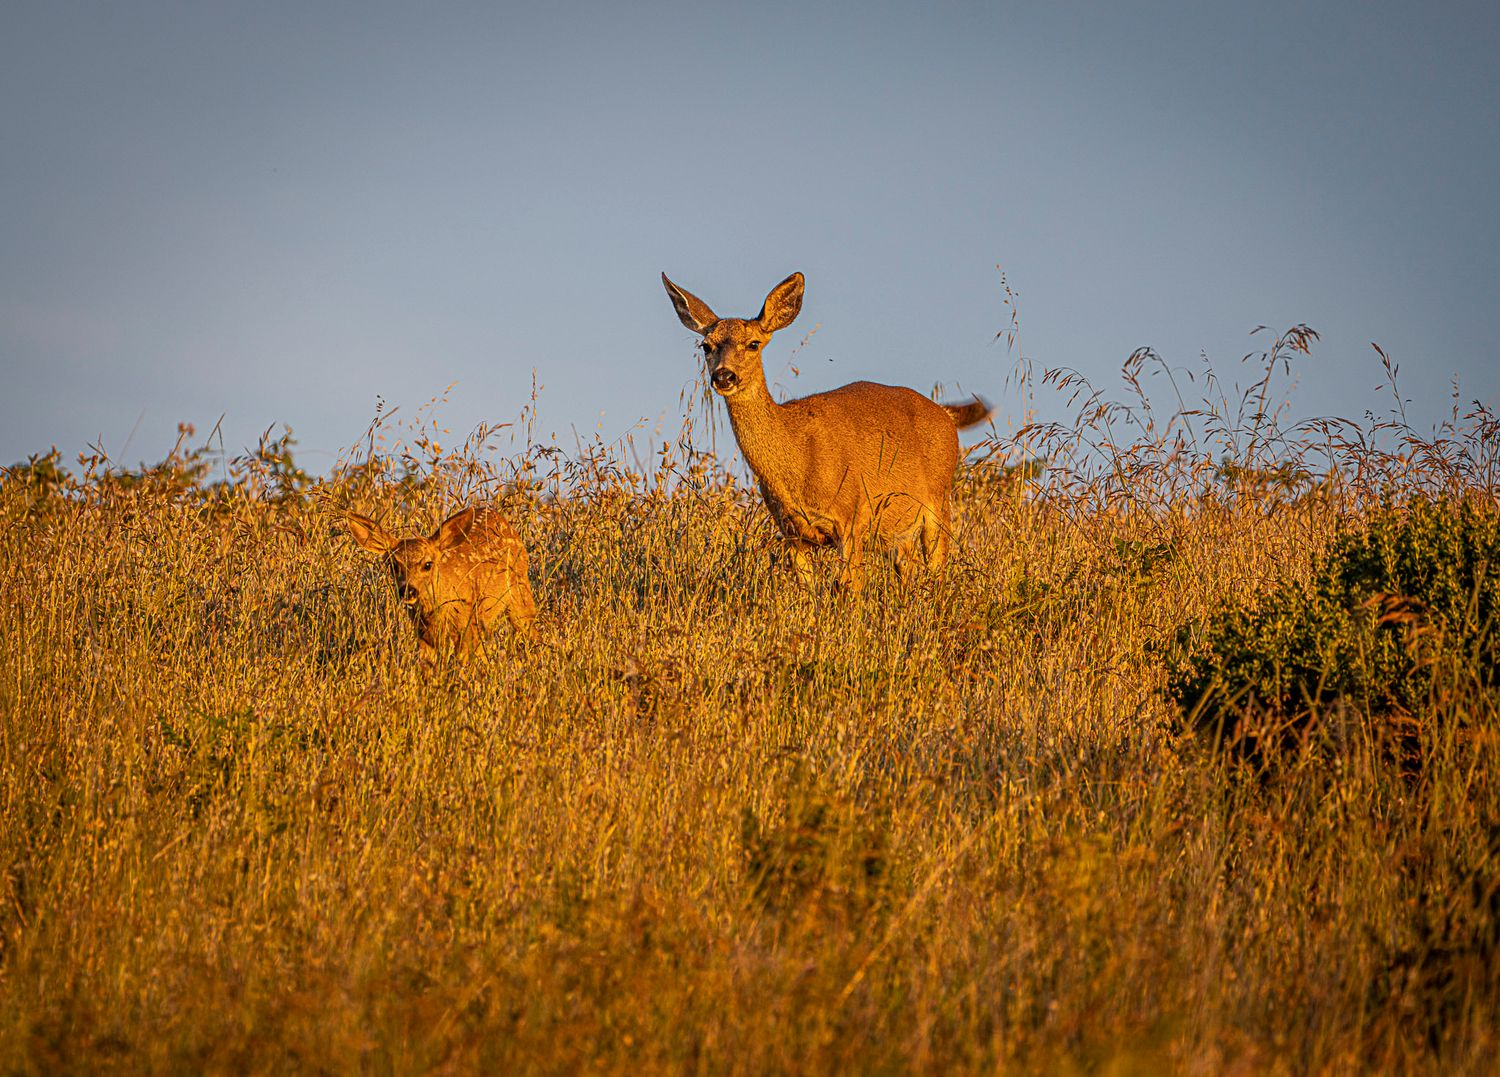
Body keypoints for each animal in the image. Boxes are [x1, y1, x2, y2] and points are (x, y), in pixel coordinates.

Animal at [346, 505, 536, 666]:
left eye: (427, 564)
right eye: (393, 565)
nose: (408, 590)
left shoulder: (466, 628)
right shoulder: (423, 635)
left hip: (519, 594)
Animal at [662, 271, 990, 590]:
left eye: (753, 343)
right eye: (706, 346)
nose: (724, 376)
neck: (797, 458)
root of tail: (946, 415)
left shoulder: (853, 516)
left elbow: (850, 589)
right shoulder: (793, 532)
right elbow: (808, 591)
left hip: (939, 502)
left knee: (937, 571)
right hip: (897, 533)